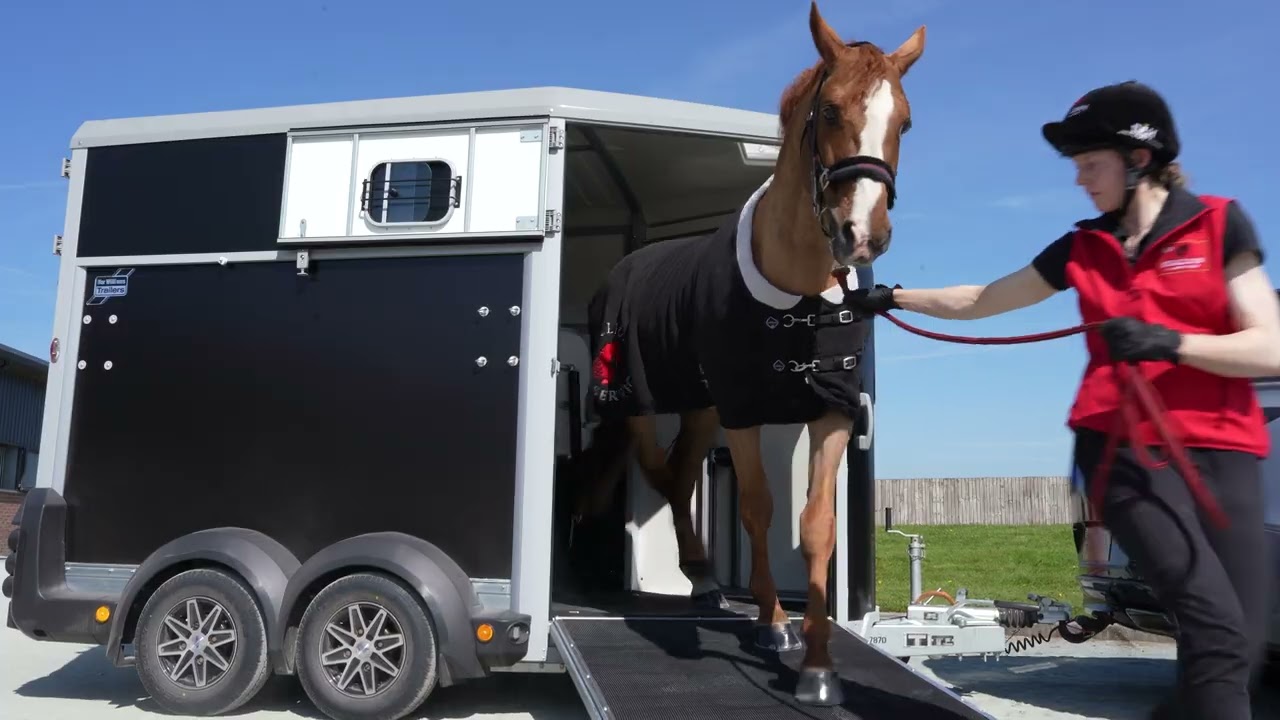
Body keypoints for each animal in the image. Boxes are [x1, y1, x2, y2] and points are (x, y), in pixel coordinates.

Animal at [568, 2, 924, 705]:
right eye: (832, 111)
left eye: (903, 120)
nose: (863, 236)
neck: (797, 291)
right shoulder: (744, 410)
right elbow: (759, 510)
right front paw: (772, 625)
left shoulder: (830, 410)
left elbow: (815, 525)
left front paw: (818, 667)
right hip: (645, 401)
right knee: (661, 471)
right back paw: (699, 573)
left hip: (702, 406)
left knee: (680, 473)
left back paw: (705, 582)